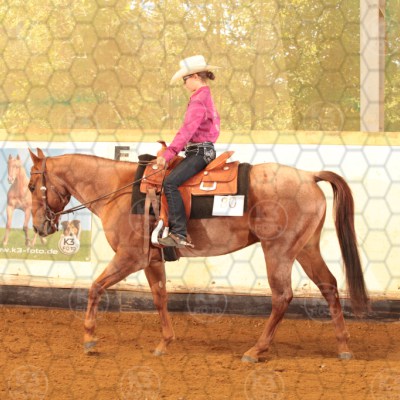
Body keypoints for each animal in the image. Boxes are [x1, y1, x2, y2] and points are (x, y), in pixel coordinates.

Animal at [28, 148, 369, 363]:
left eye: (31, 185)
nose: (39, 226)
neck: (121, 189)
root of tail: (309, 176)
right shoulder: (152, 260)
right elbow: (160, 297)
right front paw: (164, 342)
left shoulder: (130, 257)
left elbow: (95, 287)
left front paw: (89, 339)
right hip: (306, 248)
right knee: (329, 286)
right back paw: (344, 345)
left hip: (278, 251)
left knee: (282, 296)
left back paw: (256, 350)